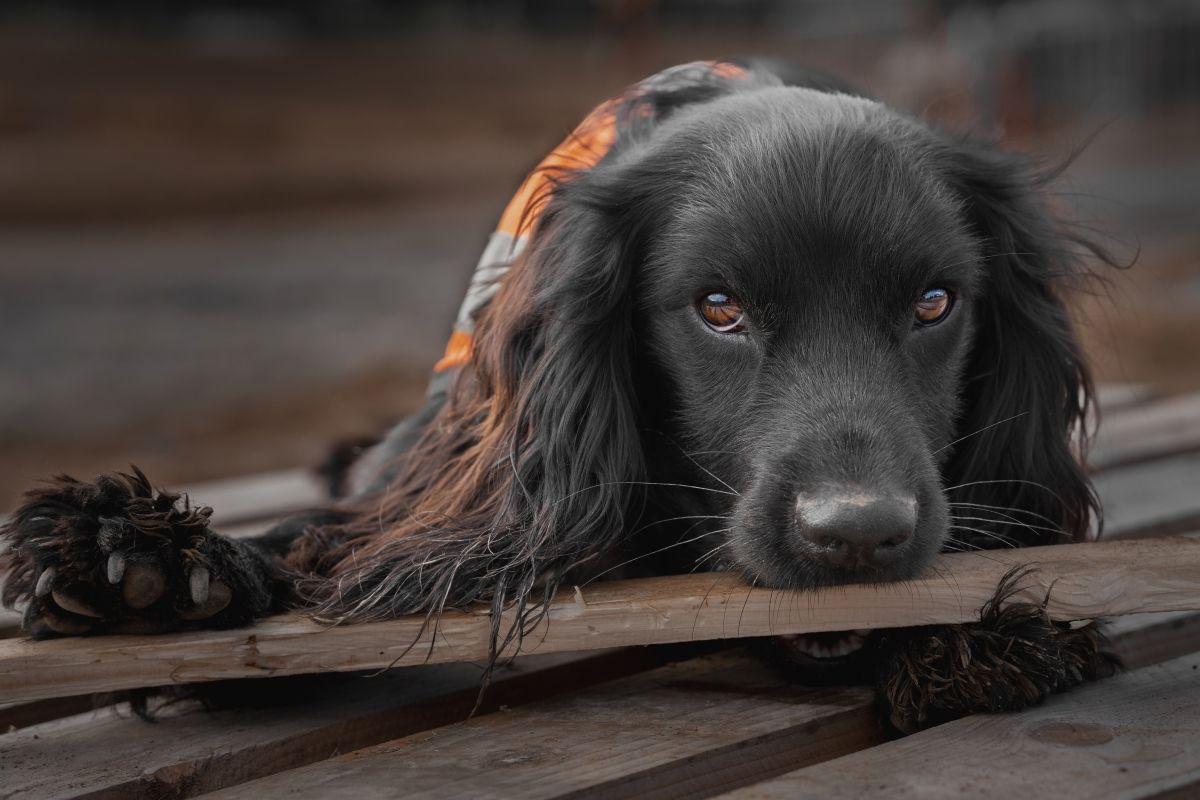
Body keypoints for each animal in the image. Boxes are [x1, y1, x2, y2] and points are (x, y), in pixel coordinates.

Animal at [2, 59, 1113, 729]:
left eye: (934, 302)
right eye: (718, 307)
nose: (859, 534)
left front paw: (976, 626)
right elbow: (364, 540)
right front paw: (149, 564)